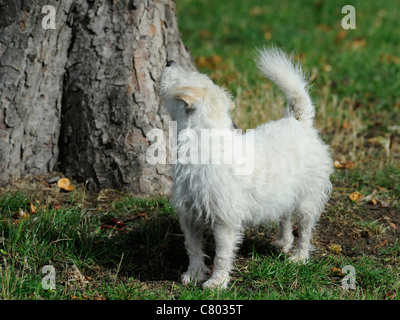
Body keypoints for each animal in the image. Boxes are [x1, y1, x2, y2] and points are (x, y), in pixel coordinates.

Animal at [159, 48, 332, 290]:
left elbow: (222, 254)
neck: (205, 142)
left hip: (308, 199)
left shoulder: (225, 222)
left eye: (179, 79)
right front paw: (194, 274)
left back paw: (299, 257)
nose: (169, 61)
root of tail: (299, 121)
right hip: (284, 192)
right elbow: (193, 248)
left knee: (306, 230)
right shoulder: (189, 215)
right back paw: (283, 241)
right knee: (285, 217)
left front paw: (217, 283)